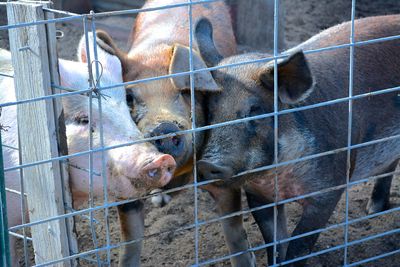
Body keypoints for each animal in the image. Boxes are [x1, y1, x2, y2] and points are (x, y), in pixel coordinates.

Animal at [195, 15, 400, 266]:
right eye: (209, 110)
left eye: (256, 111)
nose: (206, 164)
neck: (278, 177)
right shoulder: (258, 195)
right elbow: (274, 244)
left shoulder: (329, 189)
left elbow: (299, 246)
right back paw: (373, 211)